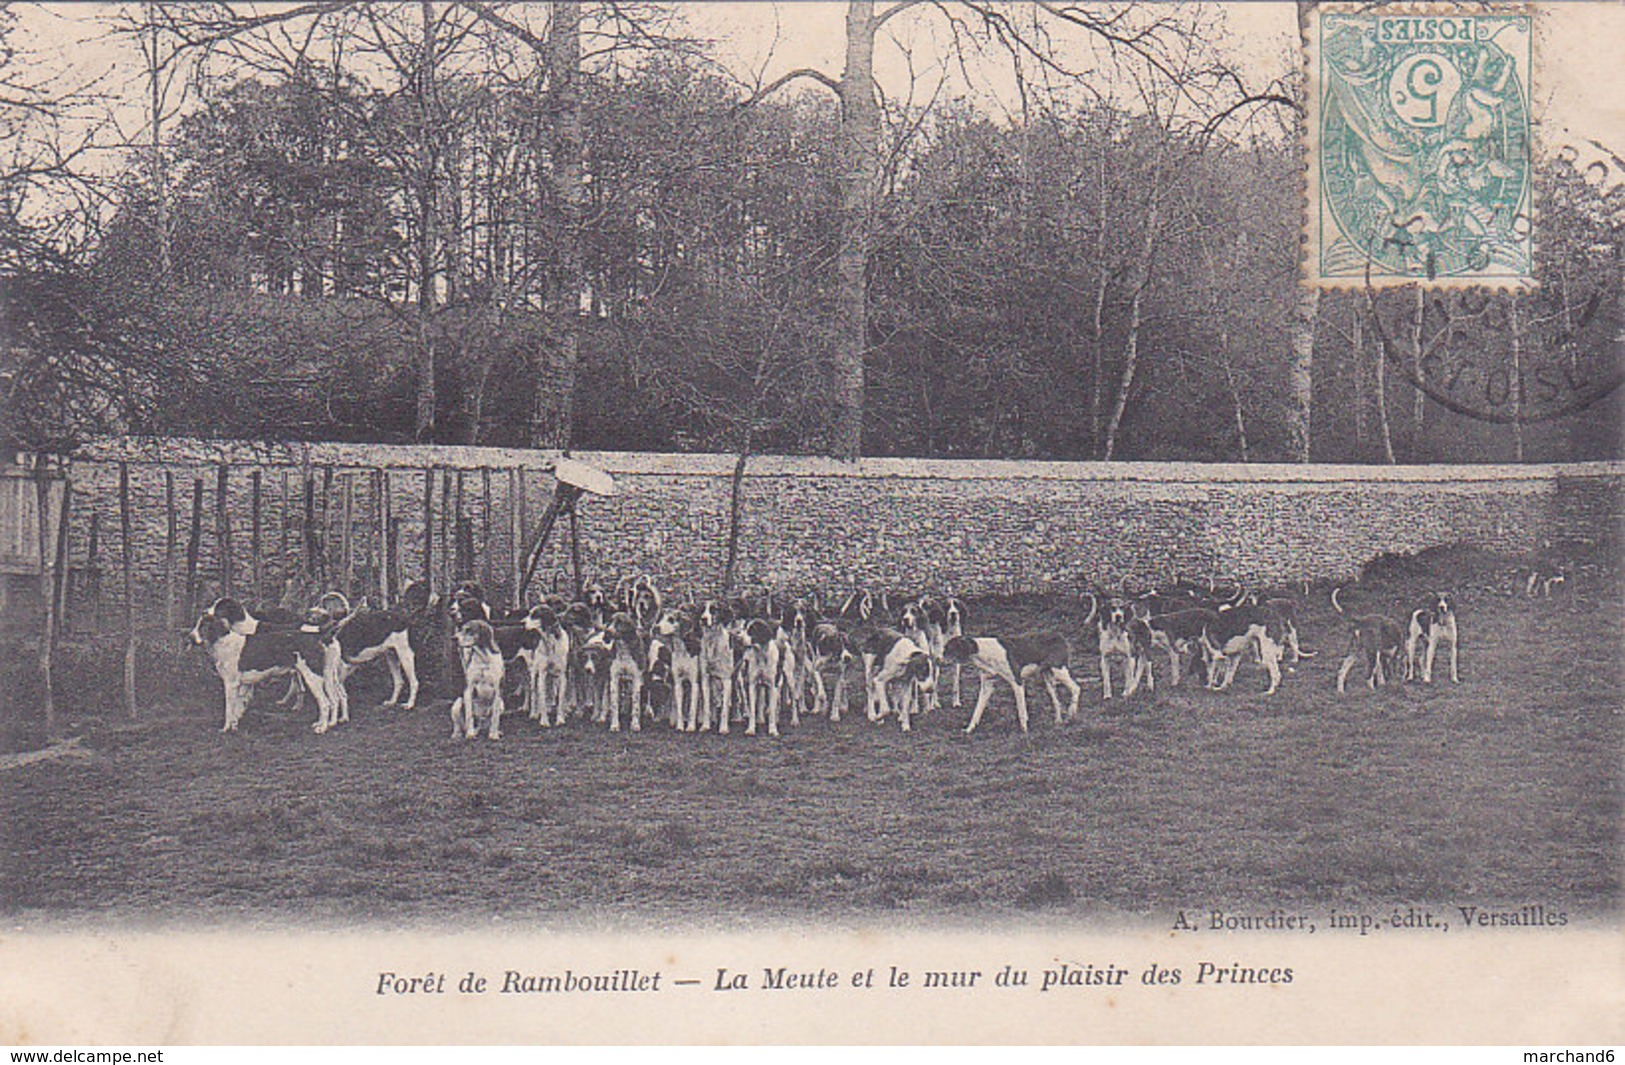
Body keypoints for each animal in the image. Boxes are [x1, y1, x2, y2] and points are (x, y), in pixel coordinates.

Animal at [942, 634, 1079, 734]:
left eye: (949, 649)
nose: (938, 660)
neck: (984, 652)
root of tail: (1059, 636)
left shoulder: (1017, 683)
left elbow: (1021, 711)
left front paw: (1024, 731)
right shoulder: (987, 687)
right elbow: (977, 711)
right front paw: (969, 729)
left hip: (1060, 671)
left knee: (1076, 688)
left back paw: (1071, 714)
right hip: (1049, 679)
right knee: (1057, 701)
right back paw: (1058, 721)